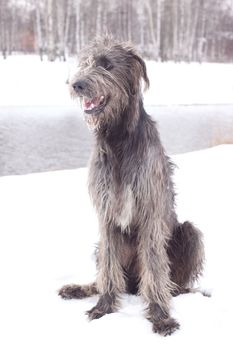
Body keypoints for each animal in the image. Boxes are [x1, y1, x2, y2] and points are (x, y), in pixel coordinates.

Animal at [59, 37, 205, 334]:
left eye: (107, 65)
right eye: (86, 63)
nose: (76, 84)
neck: (117, 138)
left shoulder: (150, 213)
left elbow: (155, 267)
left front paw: (160, 315)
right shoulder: (106, 215)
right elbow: (109, 268)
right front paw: (104, 306)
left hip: (189, 232)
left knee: (173, 278)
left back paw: (177, 292)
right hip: (100, 247)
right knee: (106, 274)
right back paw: (79, 289)